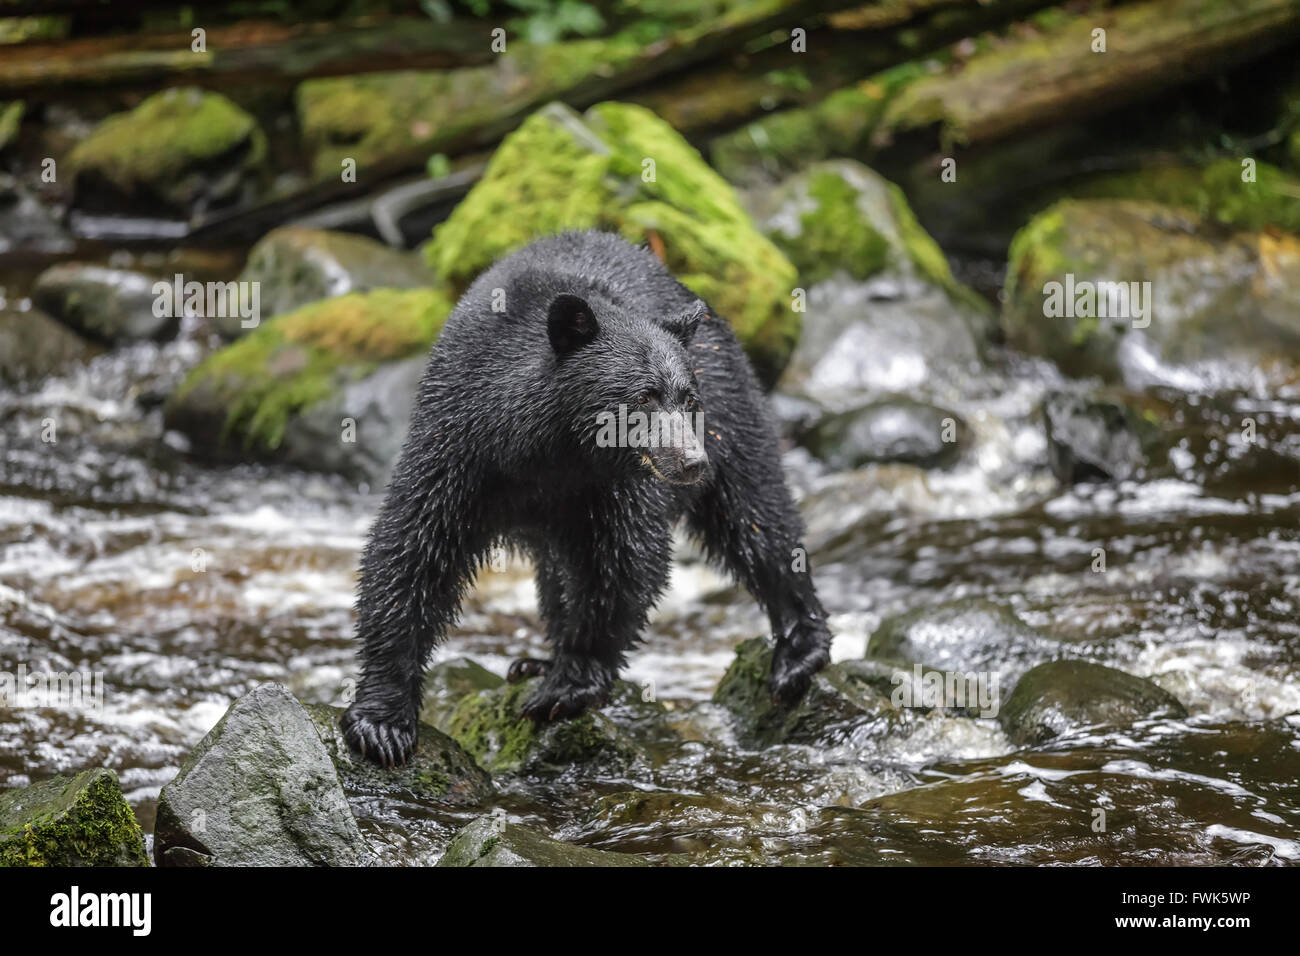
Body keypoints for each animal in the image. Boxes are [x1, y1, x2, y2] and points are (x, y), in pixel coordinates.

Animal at [343, 231, 832, 770]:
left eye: (688, 399)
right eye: (643, 397)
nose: (691, 463)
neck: (549, 451)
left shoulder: (614, 485)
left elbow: (621, 562)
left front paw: (569, 684)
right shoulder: (457, 446)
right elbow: (413, 546)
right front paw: (382, 721)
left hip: (731, 409)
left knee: (758, 519)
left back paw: (799, 650)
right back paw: (536, 661)